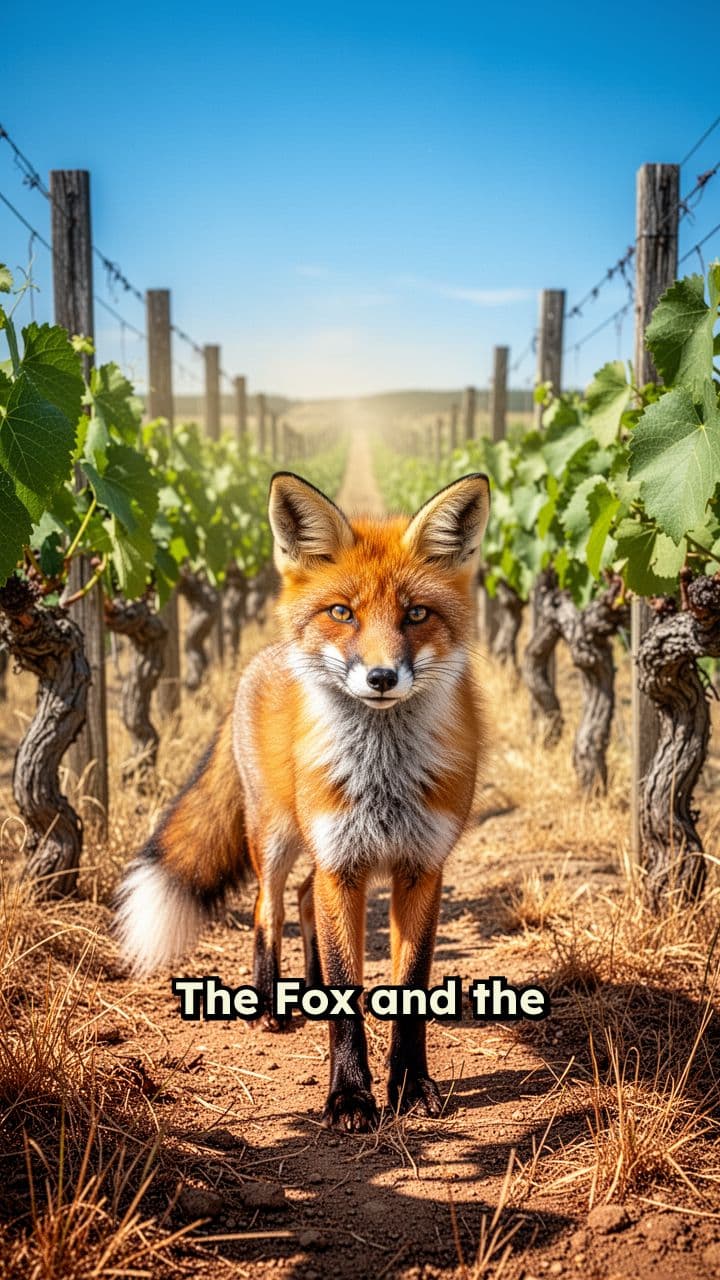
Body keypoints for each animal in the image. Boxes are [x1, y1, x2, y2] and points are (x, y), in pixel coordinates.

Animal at [115, 469, 490, 1132]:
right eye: (342, 612)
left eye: (416, 614)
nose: (382, 677)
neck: (383, 776)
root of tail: (262, 660)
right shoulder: (343, 862)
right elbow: (347, 995)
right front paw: (350, 1098)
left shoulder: (422, 867)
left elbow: (409, 991)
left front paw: (411, 1086)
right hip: (277, 836)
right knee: (268, 907)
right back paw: (272, 1003)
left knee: (303, 900)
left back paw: (306, 989)